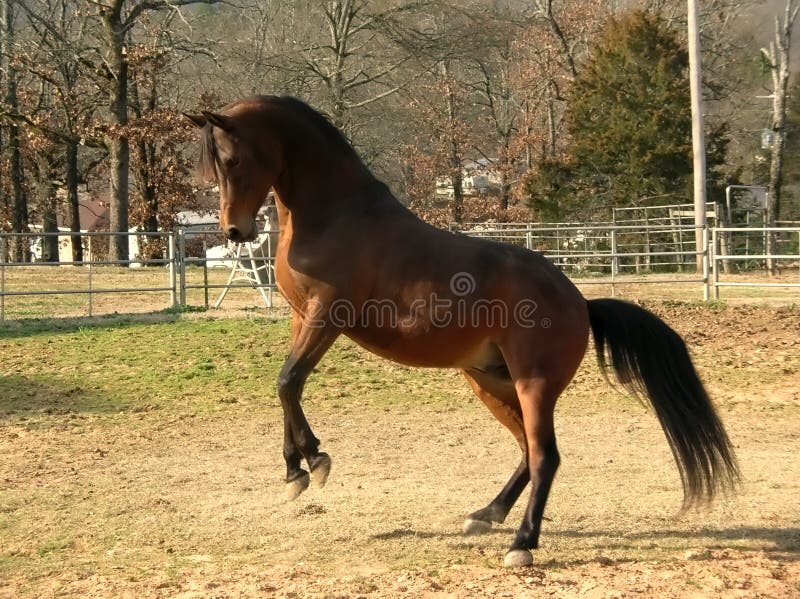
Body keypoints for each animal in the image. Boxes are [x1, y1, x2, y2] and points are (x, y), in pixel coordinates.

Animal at [183, 96, 738, 568]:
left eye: (232, 161)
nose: (234, 232)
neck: (333, 214)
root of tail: (580, 301)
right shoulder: (302, 318)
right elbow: (286, 385)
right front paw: (296, 471)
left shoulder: (326, 316)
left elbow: (288, 381)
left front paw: (314, 460)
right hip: (490, 382)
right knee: (526, 452)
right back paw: (485, 516)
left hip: (534, 385)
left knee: (545, 456)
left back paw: (522, 545)